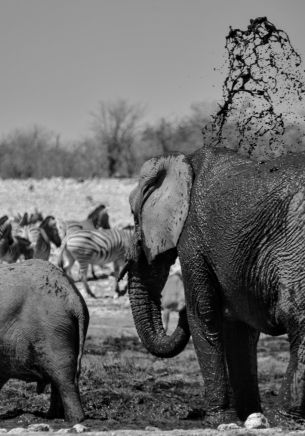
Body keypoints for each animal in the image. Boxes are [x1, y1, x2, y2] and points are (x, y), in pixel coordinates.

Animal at [125, 145, 305, 424]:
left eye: (135, 218)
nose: (178, 310)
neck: (183, 161)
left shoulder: (192, 238)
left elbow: (203, 314)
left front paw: (222, 420)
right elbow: (240, 328)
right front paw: (250, 417)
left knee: (298, 319)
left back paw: (286, 418)